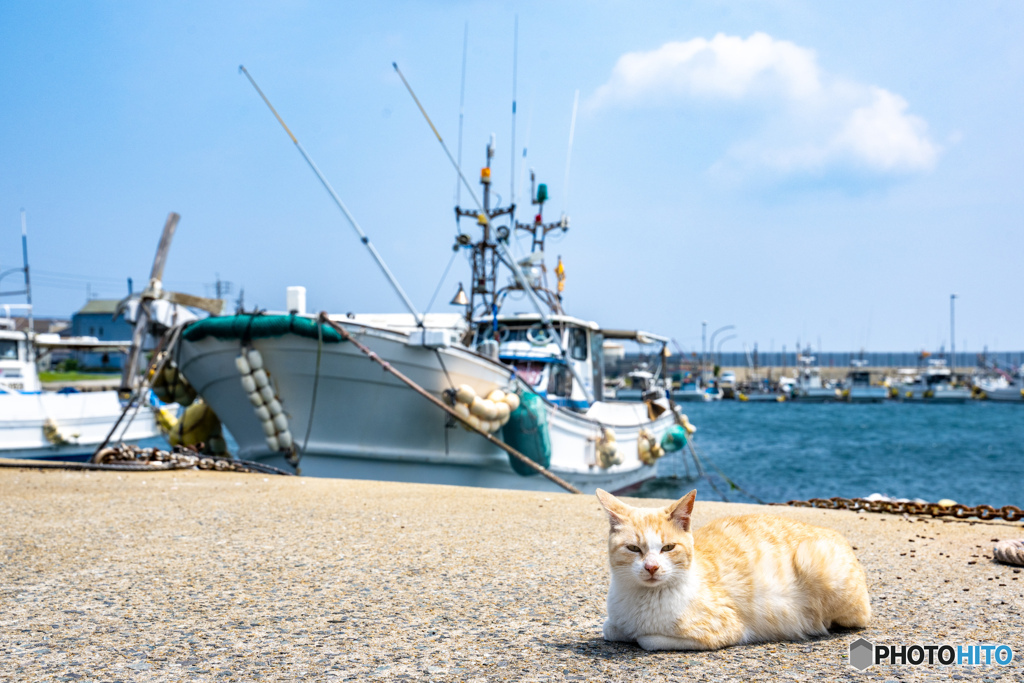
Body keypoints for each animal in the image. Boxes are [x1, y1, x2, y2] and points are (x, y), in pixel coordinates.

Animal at [598, 489, 868, 655]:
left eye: (668, 548)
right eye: (634, 548)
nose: (652, 567)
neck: (643, 598)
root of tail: (835, 533)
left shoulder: (726, 629)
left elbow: (646, 639)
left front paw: (638, 635)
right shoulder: (614, 622)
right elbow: (610, 629)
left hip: (818, 565)